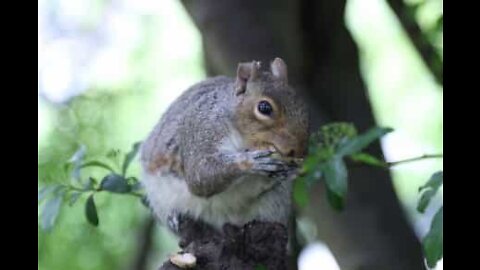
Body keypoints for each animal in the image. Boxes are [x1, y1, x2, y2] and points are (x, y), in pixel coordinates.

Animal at [141, 58, 310, 235]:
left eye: (303, 106)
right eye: (264, 108)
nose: (298, 150)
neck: (242, 141)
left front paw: (292, 170)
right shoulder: (201, 129)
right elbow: (200, 173)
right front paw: (251, 161)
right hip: (158, 197)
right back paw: (174, 218)